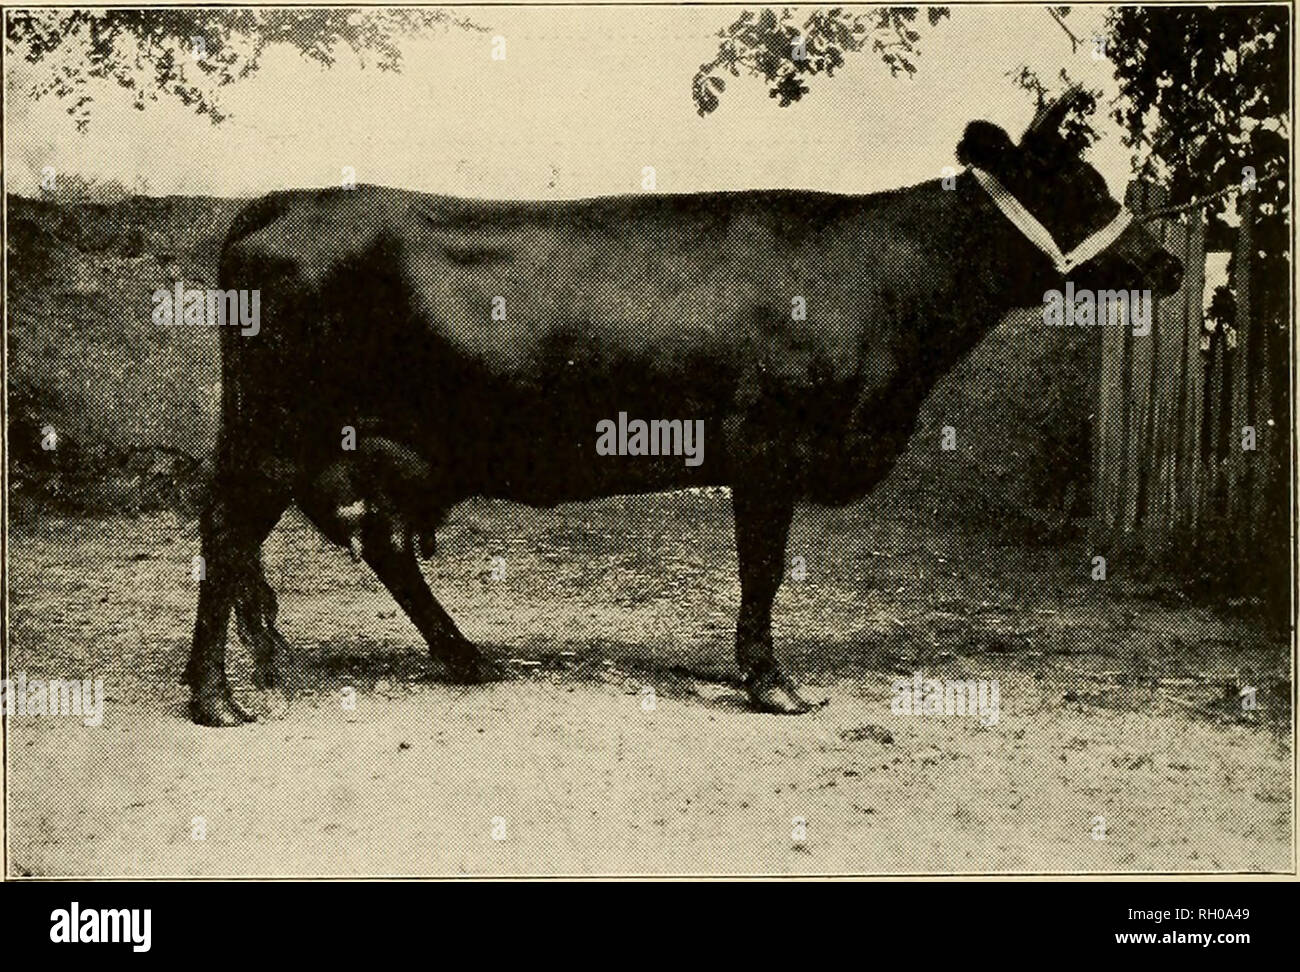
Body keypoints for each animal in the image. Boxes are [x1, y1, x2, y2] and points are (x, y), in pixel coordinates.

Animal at [188, 90, 1185, 727]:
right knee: (230, 532)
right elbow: (764, 570)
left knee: (368, 544)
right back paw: (216, 699)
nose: (1170, 265)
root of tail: (283, 202)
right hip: (276, 427)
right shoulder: (767, 445)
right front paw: (773, 685)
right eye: (1081, 189)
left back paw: (449, 658)